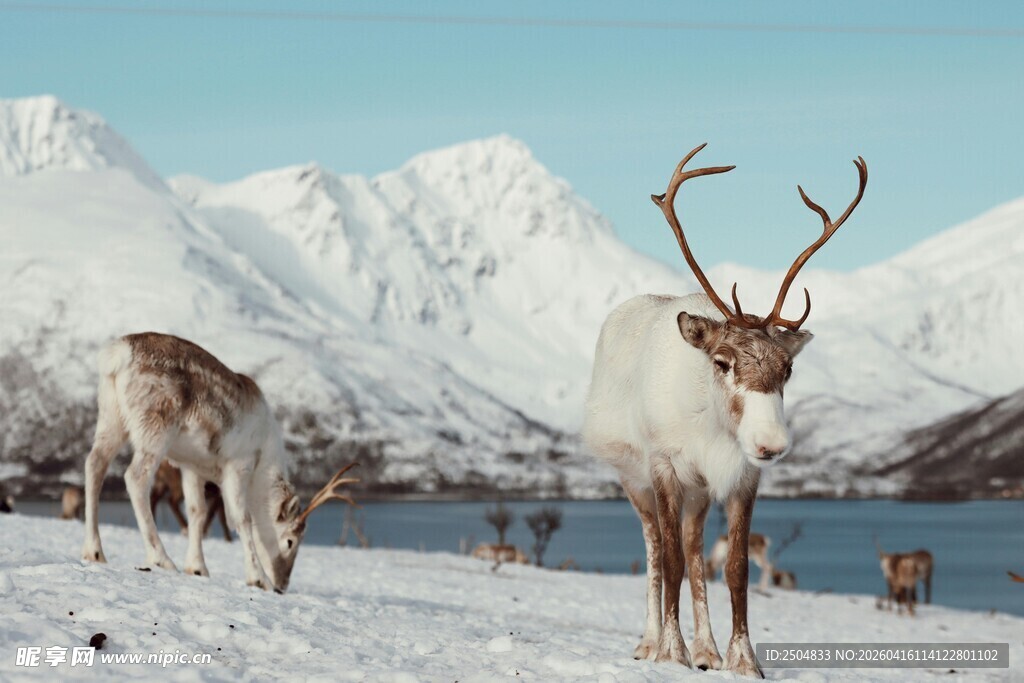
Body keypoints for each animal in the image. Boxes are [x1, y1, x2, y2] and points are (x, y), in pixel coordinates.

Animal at [80, 332, 359, 593]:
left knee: (94, 464)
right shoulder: (238, 464)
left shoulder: (192, 466)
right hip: (156, 425)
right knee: (135, 477)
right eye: (291, 541)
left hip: (110, 417)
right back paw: (161, 558)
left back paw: (94, 551)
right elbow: (242, 518)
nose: (282, 585)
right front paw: (259, 578)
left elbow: (197, 512)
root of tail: (117, 355)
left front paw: (198, 568)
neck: (263, 464)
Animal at [583, 143, 866, 677]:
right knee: (657, 548)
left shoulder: (740, 478)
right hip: (632, 478)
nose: (771, 443)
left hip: (698, 493)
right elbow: (669, 560)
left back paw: (707, 650)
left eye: (787, 368)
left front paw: (742, 660)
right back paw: (650, 641)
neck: (710, 426)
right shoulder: (665, 467)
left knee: (695, 549)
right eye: (722, 361)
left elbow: (735, 568)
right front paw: (671, 653)